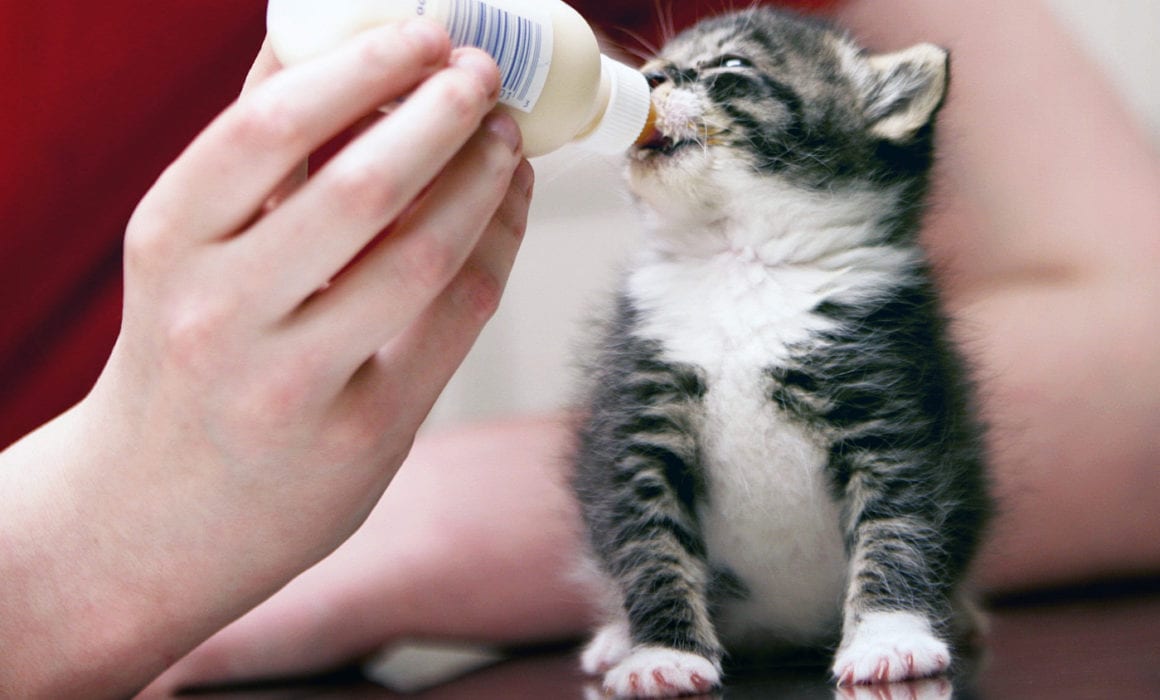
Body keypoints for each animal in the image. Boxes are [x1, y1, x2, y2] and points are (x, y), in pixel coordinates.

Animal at [570, 6, 988, 700]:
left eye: (731, 65)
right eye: (660, 62)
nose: (649, 77)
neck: (742, 262)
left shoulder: (892, 409)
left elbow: (898, 524)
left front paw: (890, 638)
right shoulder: (637, 422)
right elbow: (649, 545)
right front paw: (662, 653)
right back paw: (614, 638)